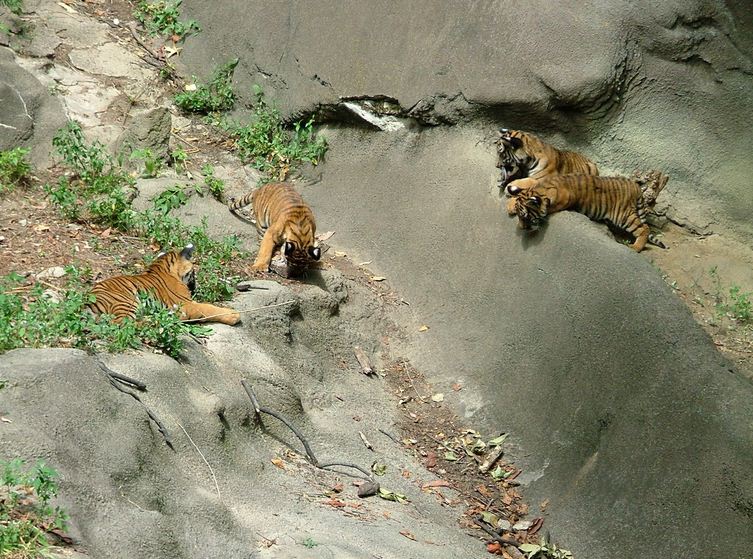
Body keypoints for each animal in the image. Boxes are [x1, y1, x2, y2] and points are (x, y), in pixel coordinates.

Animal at [88, 244, 241, 325]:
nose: (194, 289)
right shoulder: (186, 305)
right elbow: (208, 308)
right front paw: (234, 315)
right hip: (127, 301)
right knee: (122, 323)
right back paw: (158, 321)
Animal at [506, 172, 669, 252]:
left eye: (525, 217)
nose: (521, 228)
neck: (542, 190)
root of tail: (635, 186)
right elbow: (529, 182)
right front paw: (511, 202)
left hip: (623, 216)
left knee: (644, 228)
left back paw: (635, 248)